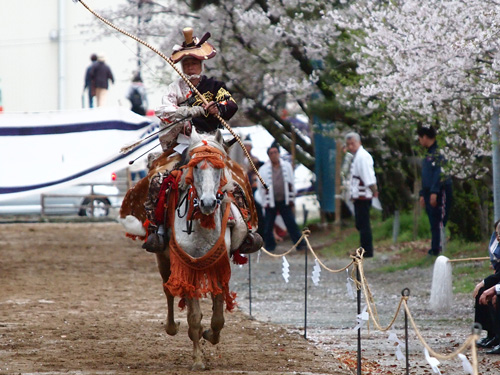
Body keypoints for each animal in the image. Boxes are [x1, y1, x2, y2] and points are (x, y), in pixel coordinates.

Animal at [154, 129, 248, 370]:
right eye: (196, 167)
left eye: (218, 167)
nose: (207, 203)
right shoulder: (186, 265)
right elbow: (194, 317)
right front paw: (197, 360)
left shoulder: (219, 264)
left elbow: (218, 318)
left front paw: (210, 335)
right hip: (163, 260)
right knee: (168, 290)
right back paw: (172, 326)